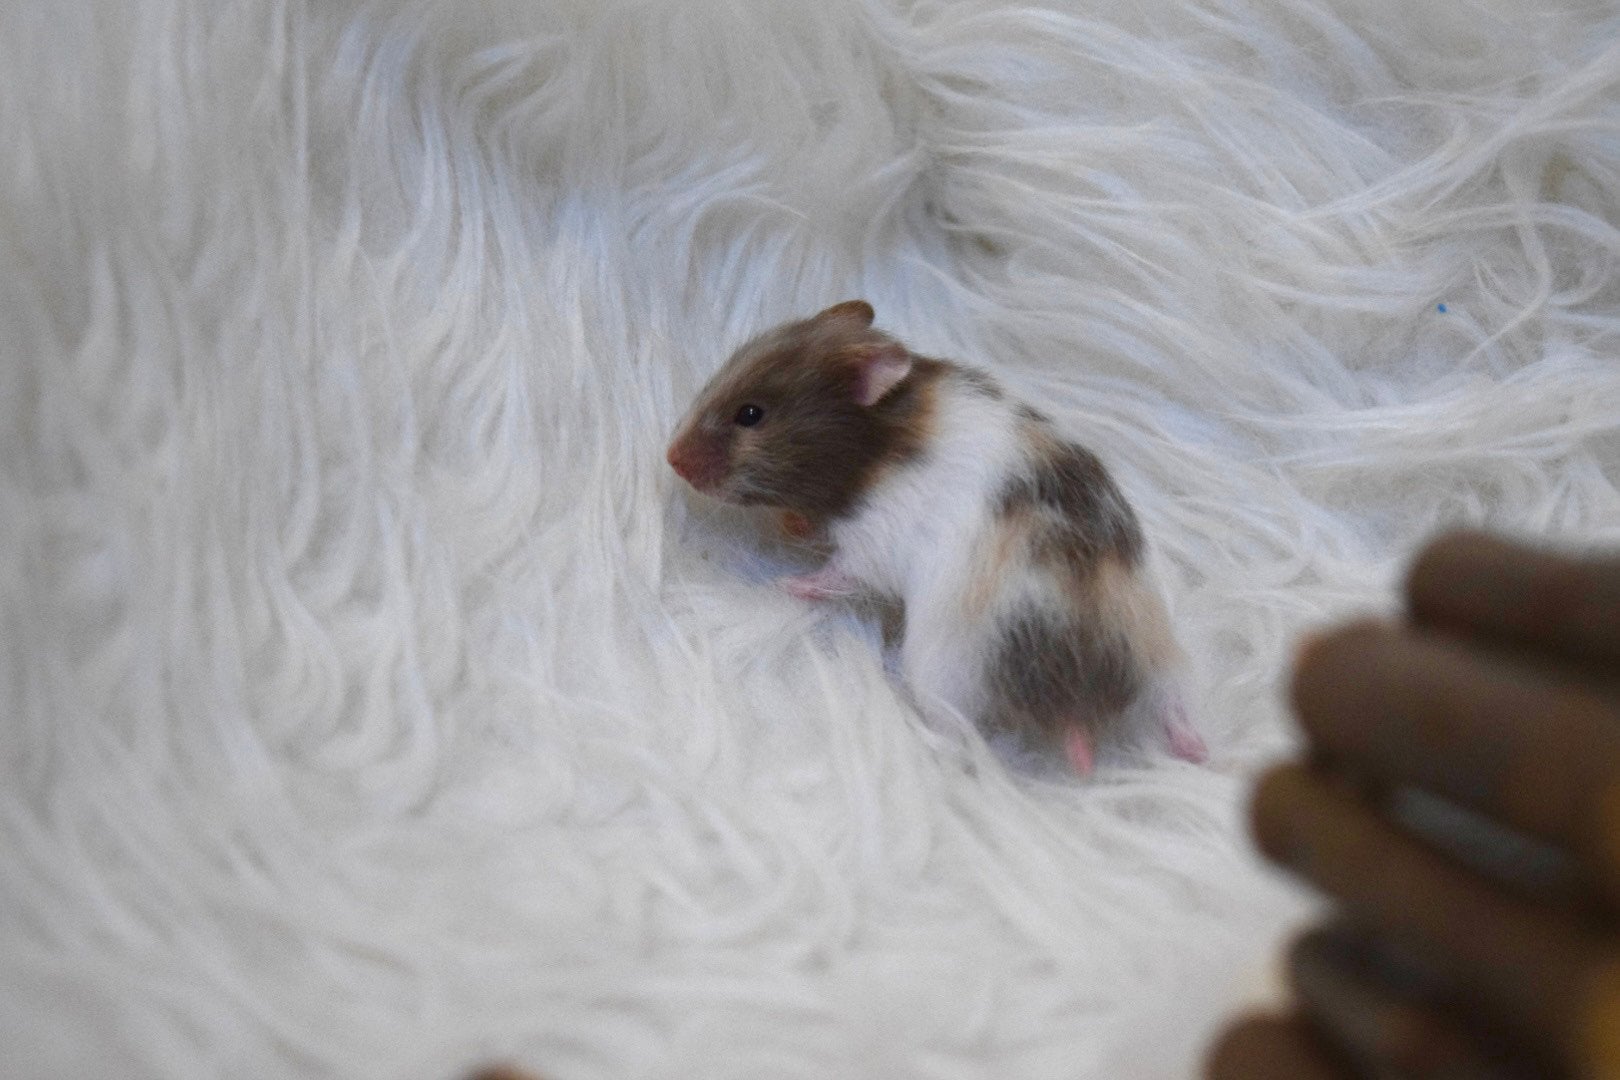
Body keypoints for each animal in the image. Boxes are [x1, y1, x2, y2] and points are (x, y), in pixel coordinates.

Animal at [666, 300, 1207, 775]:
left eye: (751, 415)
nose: (671, 458)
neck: (873, 447)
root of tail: (1080, 701)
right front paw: (792, 526)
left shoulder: (871, 542)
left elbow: (837, 573)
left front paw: (787, 583)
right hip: (1161, 655)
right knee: (1175, 709)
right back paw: (1195, 750)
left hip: (945, 669)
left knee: (953, 729)